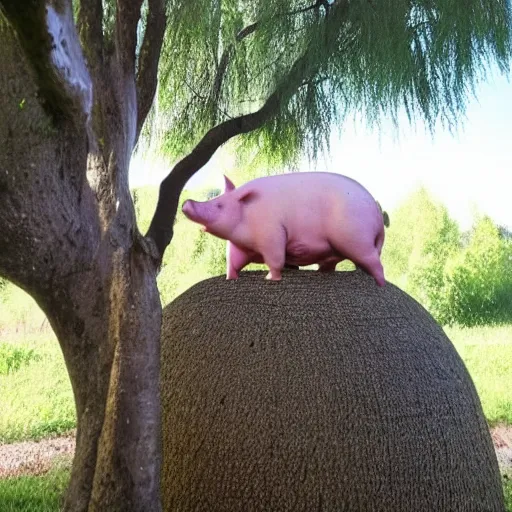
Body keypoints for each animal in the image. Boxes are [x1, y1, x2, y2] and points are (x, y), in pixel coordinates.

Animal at [182, 171, 386, 284]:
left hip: (357, 238)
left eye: (219, 205)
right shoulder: (238, 244)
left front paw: (269, 279)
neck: (247, 217)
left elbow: (276, 260)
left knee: (375, 263)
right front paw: (230, 278)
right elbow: (233, 261)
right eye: (216, 199)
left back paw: (380, 284)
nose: (186, 202)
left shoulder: (273, 234)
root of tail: (376, 211)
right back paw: (320, 273)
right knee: (332, 264)